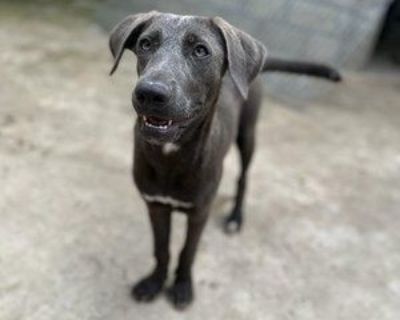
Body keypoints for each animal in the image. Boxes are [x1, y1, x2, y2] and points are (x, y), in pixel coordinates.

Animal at [109, 11, 340, 310]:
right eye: (146, 44)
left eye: (200, 51)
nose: (149, 93)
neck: (171, 154)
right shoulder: (155, 205)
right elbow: (162, 249)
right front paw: (155, 282)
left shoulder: (200, 212)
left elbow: (188, 251)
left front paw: (182, 286)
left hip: (248, 136)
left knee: (243, 178)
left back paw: (235, 218)